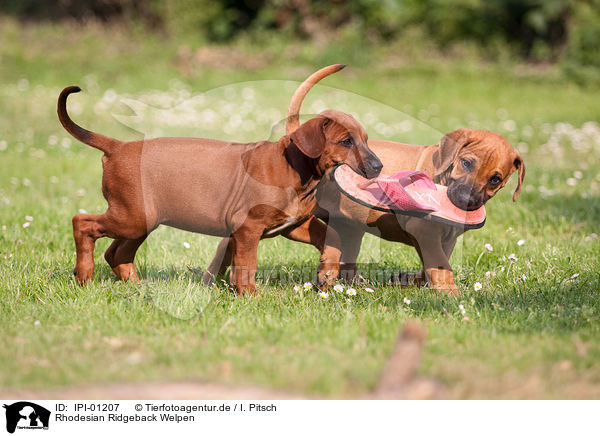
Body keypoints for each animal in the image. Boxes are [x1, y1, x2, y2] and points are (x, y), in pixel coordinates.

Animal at [58, 70, 382, 294]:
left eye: (365, 140)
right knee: (81, 223)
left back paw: (137, 286)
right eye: (346, 141)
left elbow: (333, 236)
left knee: (117, 252)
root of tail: (118, 146)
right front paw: (250, 296)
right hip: (131, 217)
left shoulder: (293, 225)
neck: (295, 169)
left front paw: (328, 270)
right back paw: (84, 275)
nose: (378, 167)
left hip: (141, 218)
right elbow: (246, 266)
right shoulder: (248, 228)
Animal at [284, 66, 524, 294]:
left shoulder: (447, 238)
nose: (465, 200)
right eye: (466, 163)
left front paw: (412, 281)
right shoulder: (426, 233)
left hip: (349, 226)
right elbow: (440, 264)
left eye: (495, 179)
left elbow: (433, 265)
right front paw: (450, 292)